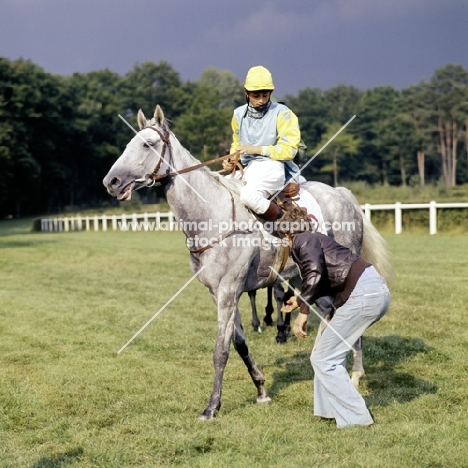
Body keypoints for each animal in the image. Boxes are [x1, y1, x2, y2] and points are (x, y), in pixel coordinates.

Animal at [102, 105, 392, 420]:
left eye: (148, 144)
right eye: (129, 144)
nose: (111, 182)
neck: (213, 215)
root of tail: (341, 193)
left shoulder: (229, 291)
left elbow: (221, 350)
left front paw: (212, 407)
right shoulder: (219, 293)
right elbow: (239, 343)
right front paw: (261, 390)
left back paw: (355, 374)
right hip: (308, 278)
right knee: (329, 313)